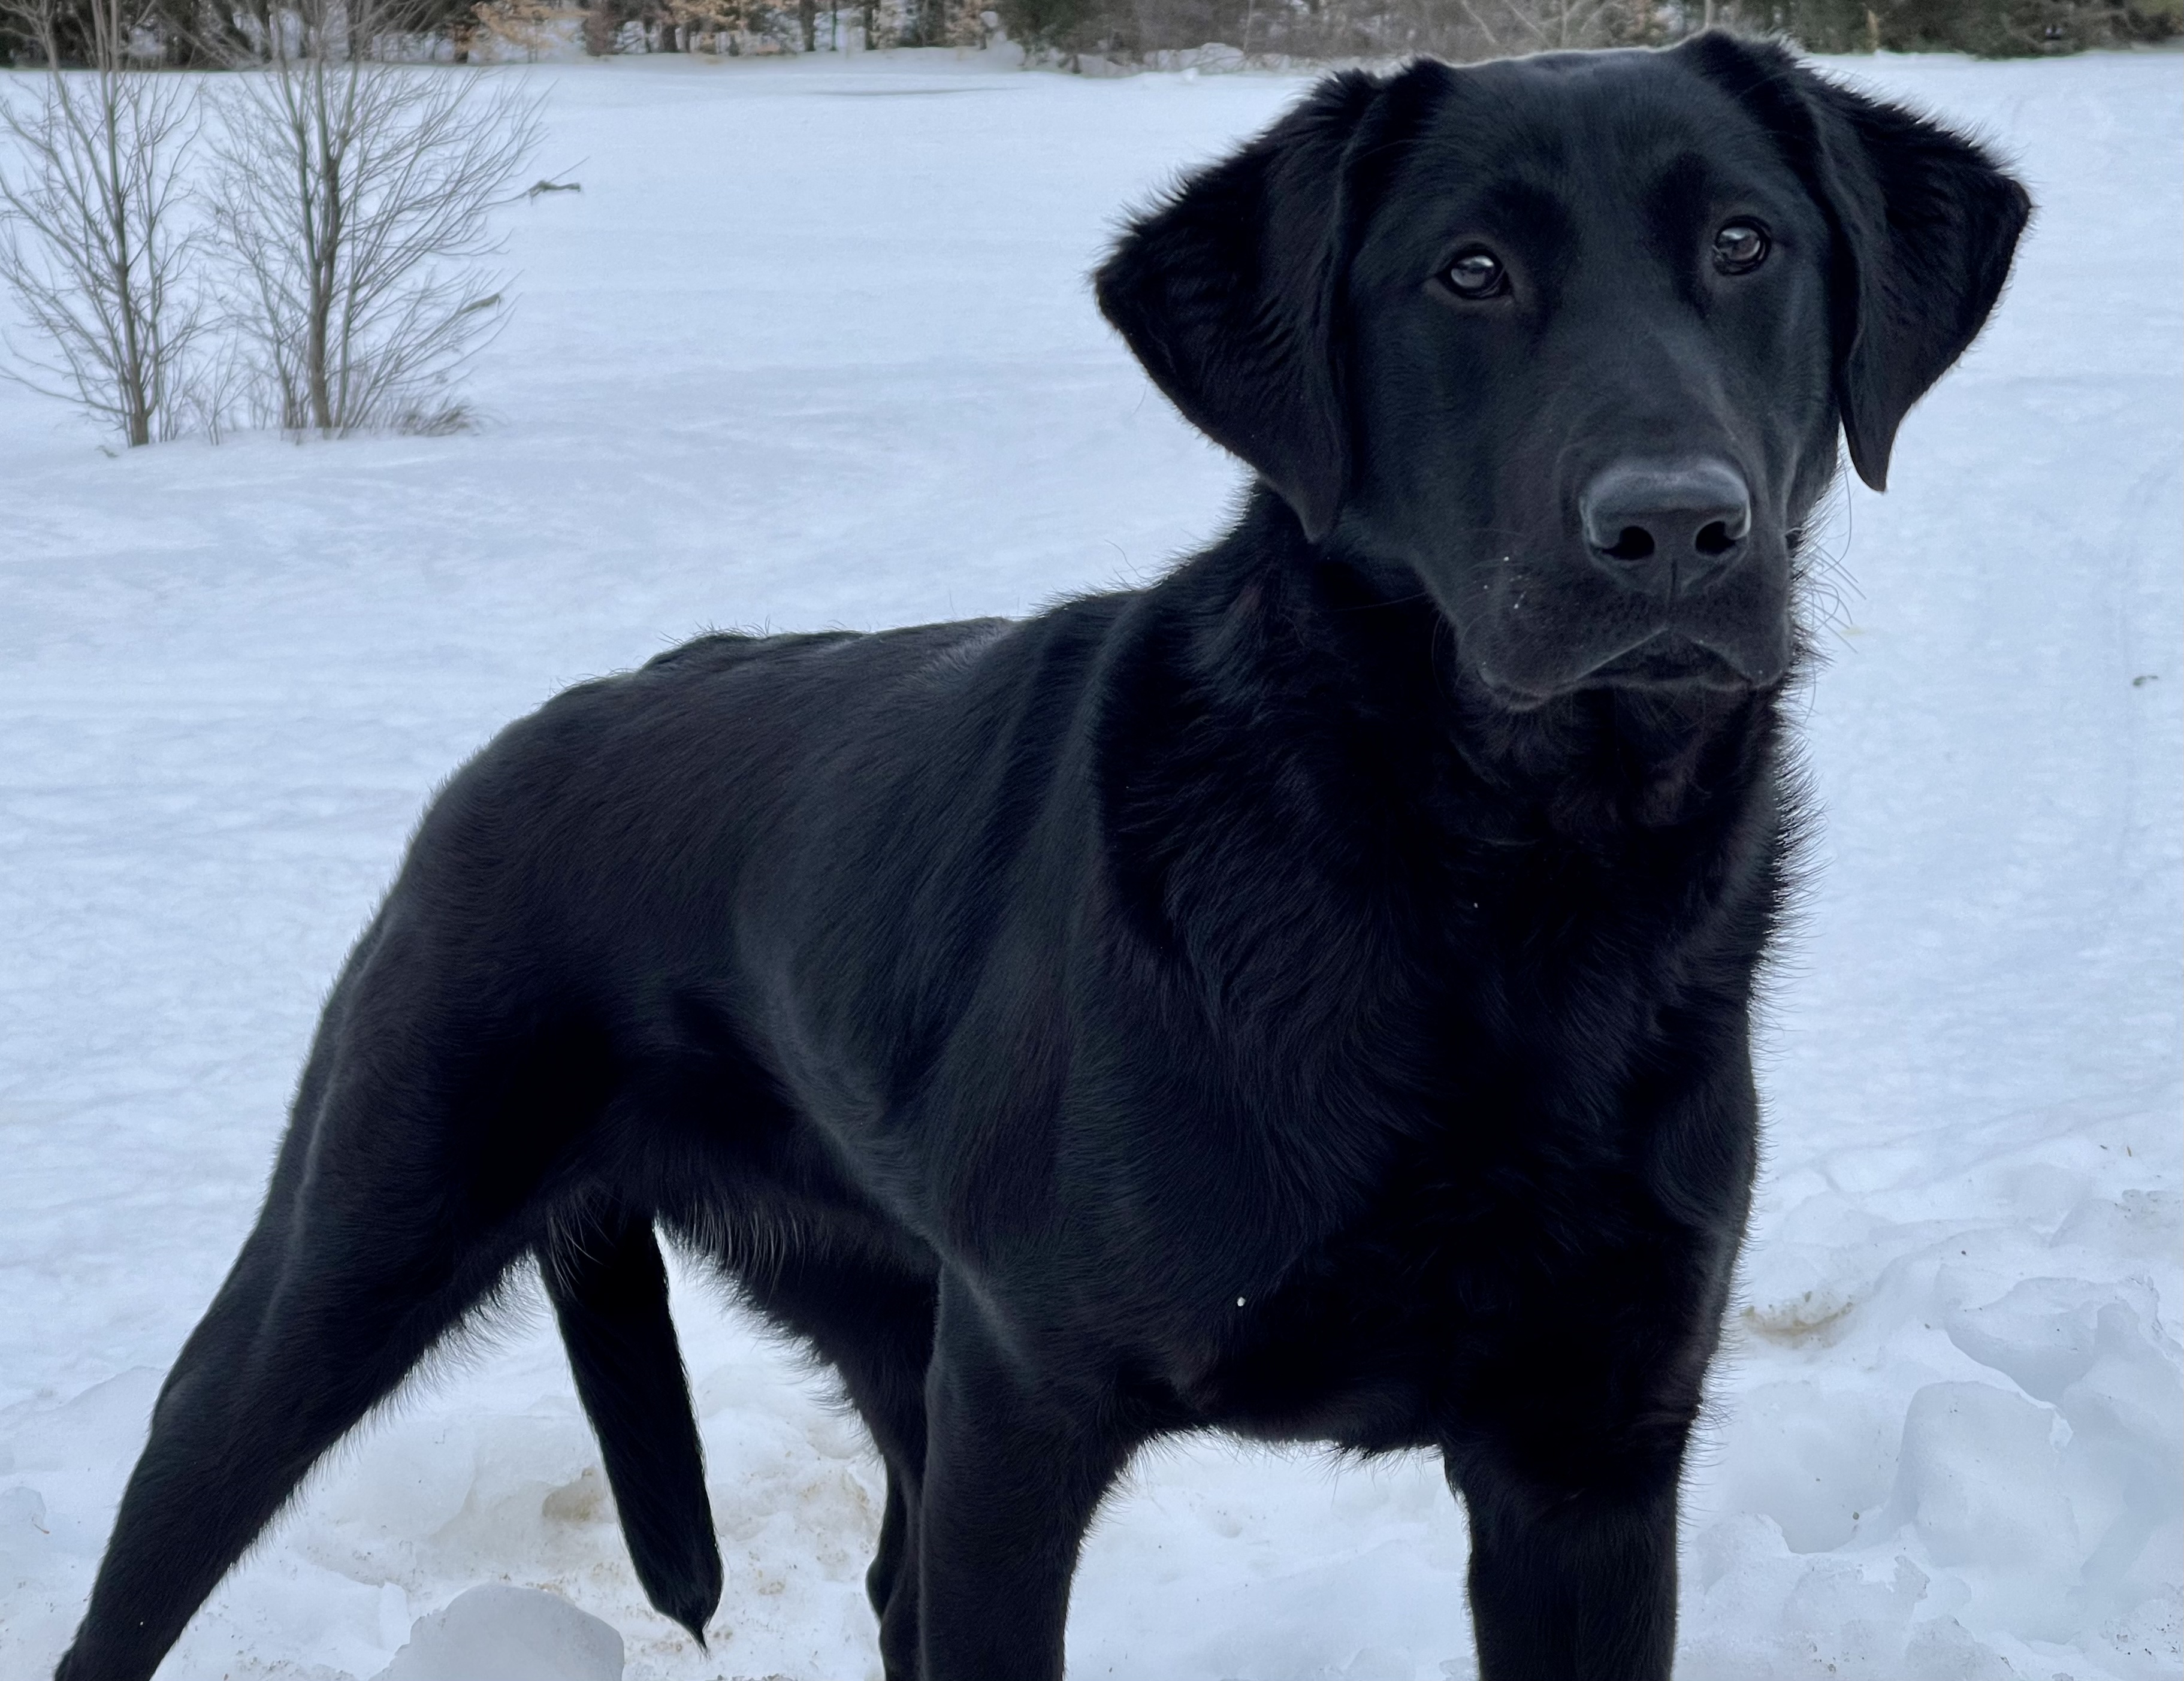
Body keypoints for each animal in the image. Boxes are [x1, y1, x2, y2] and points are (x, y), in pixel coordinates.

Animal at [55, 36, 2026, 1676]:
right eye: (1469, 273)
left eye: (1747, 246)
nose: (1674, 528)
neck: (1489, 877)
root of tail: (535, 729)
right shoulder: (1026, 1412)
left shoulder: (1590, 1465)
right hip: (344, 1262)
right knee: (146, 1554)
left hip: (885, 1303)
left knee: (887, 1581)